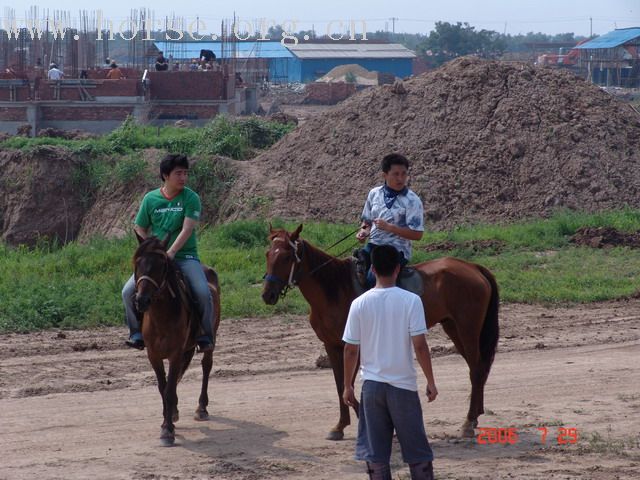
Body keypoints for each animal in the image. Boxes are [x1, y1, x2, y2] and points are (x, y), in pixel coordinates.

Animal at [134, 235, 221, 446]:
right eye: (138, 263)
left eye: (161, 265)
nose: (141, 300)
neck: (161, 316)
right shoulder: (153, 355)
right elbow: (163, 387)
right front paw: (169, 418)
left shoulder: (174, 354)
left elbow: (168, 389)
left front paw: (167, 430)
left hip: (210, 338)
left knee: (206, 366)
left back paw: (201, 408)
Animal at [262, 225, 500, 438]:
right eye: (268, 254)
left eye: (286, 257)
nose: (267, 295)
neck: (335, 288)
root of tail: (473, 267)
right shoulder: (331, 345)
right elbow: (340, 385)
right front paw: (340, 426)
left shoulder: (353, 345)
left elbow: (349, 385)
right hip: (453, 326)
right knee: (477, 368)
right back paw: (475, 415)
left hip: (467, 328)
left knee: (476, 369)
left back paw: (468, 422)